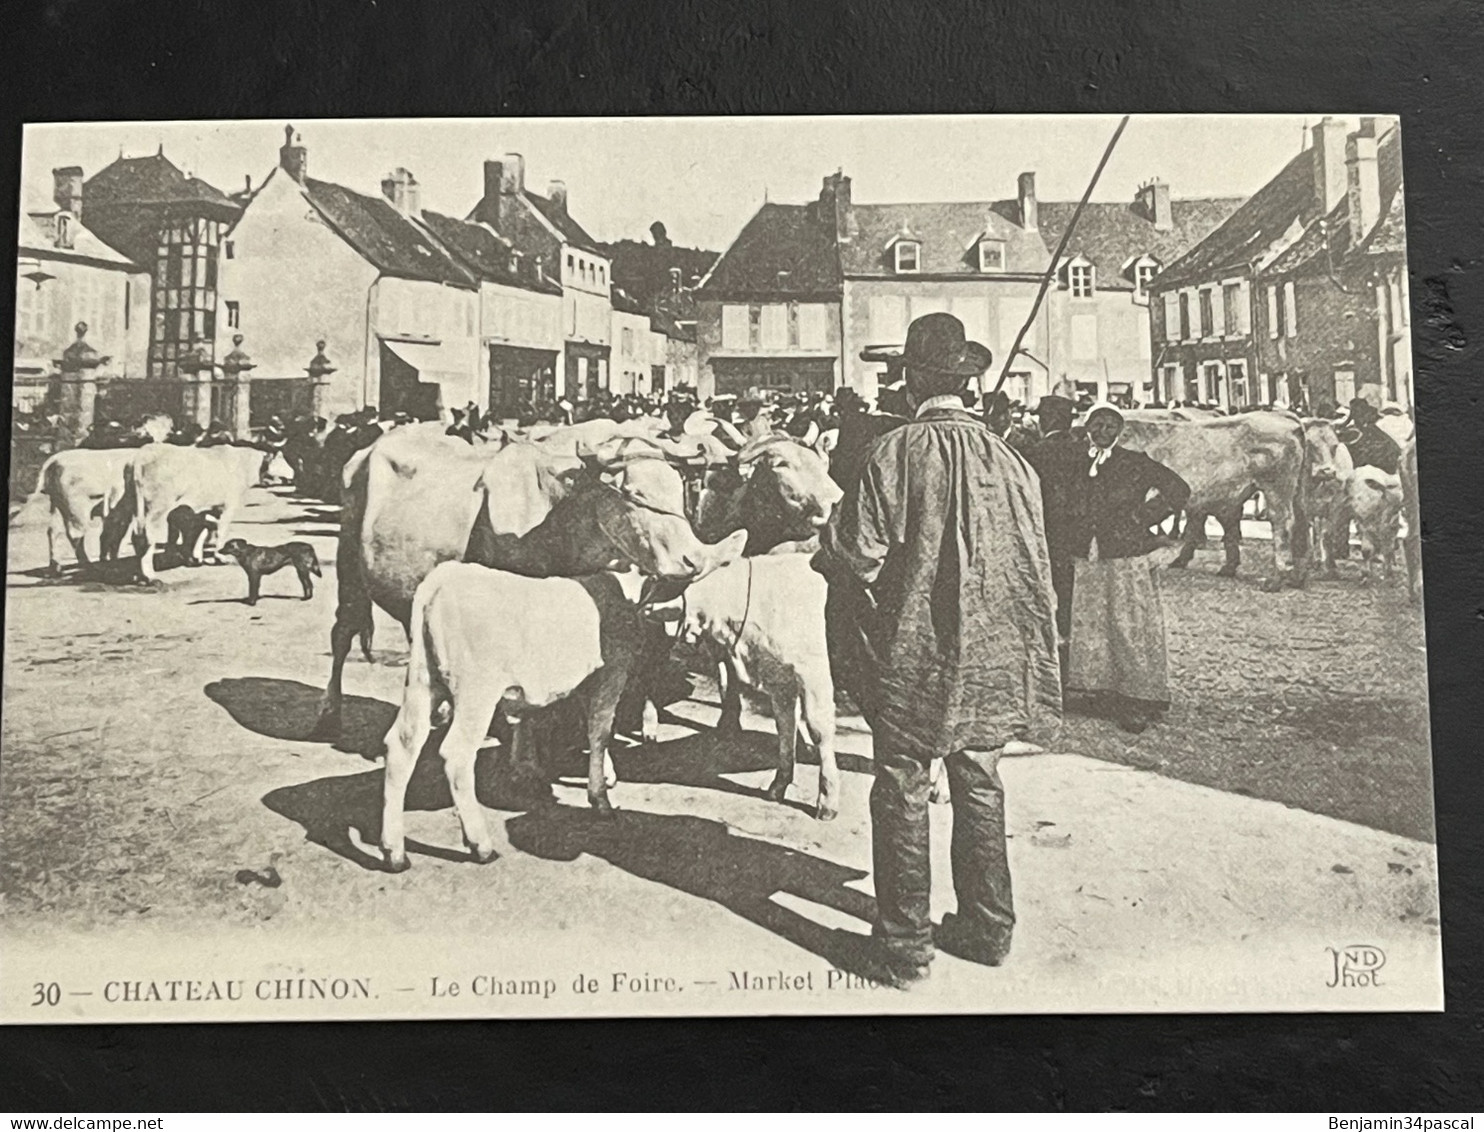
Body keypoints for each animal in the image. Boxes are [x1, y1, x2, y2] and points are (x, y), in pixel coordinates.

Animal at [655, 554, 842, 818]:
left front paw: (827, 802)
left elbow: (819, 728)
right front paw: (778, 786)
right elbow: (785, 726)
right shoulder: (779, 677)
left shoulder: (815, 672)